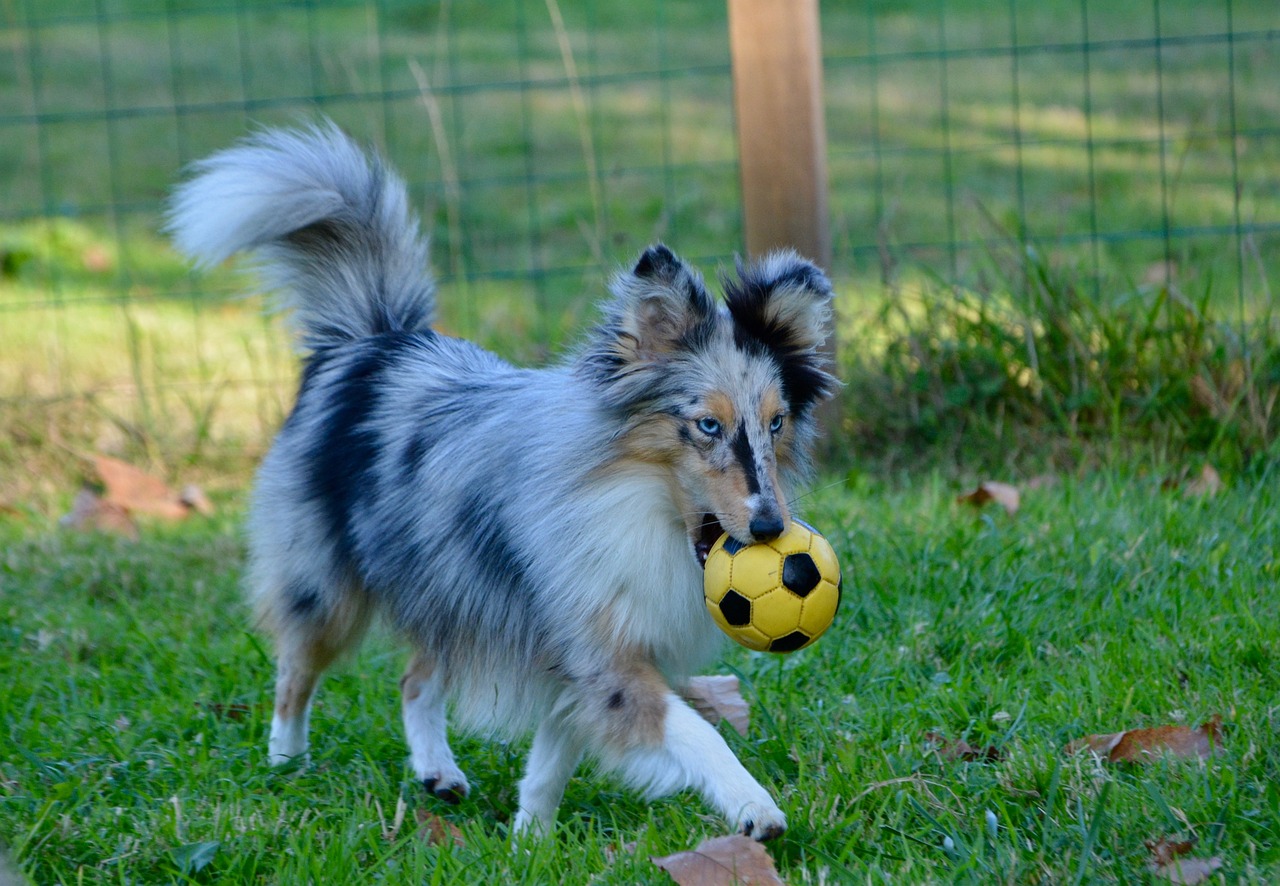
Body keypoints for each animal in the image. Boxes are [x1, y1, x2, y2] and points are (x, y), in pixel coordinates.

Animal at [165, 122, 834, 839]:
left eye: (777, 422)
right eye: (707, 425)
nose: (770, 528)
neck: (632, 500)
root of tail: (373, 340)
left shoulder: (571, 650)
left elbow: (551, 758)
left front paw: (528, 840)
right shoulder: (601, 654)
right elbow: (693, 732)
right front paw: (752, 806)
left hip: (452, 588)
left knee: (414, 679)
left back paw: (437, 772)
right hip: (326, 585)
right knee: (296, 671)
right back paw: (286, 762)